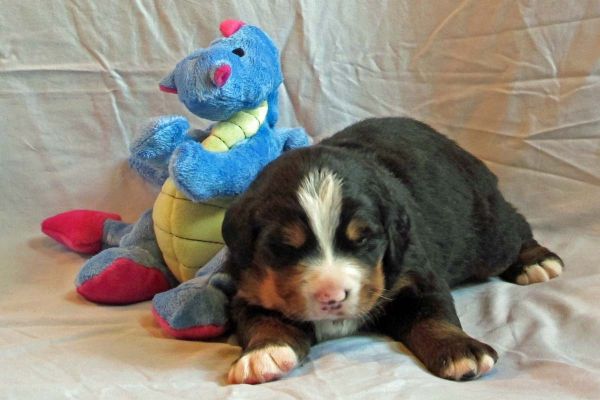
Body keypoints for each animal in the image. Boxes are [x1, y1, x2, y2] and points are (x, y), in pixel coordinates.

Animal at [220, 118, 564, 384]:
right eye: (284, 247)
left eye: (363, 240)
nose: (331, 296)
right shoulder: (248, 290)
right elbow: (265, 320)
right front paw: (264, 354)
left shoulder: (415, 275)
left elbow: (432, 316)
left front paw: (461, 351)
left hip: (486, 237)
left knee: (515, 226)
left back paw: (536, 261)